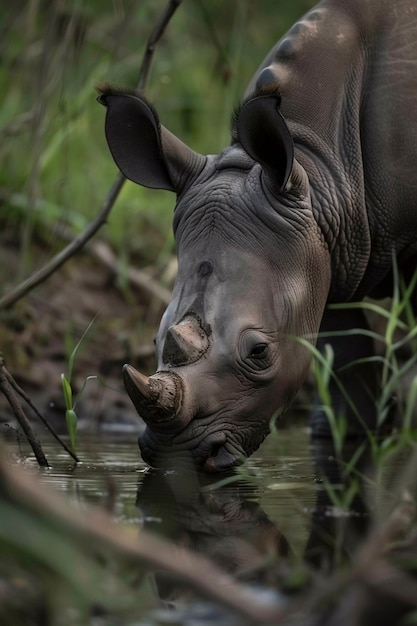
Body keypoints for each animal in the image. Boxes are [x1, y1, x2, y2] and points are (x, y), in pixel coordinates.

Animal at [99, 0, 416, 468]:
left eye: (259, 352)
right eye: (155, 338)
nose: (178, 457)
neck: (316, 166)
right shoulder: (329, 251)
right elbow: (347, 365)